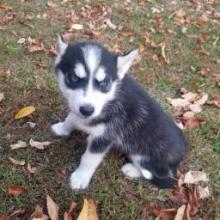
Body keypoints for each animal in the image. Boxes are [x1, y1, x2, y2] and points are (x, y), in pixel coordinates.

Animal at [51, 36, 187, 189]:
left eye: (104, 83)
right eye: (74, 78)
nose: (87, 110)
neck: (110, 98)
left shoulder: (105, 136)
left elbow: (89, 159)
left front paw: (81, 177)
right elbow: (71, 118)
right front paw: (62, 128)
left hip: (143, 155)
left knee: (157, 174)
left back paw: (131, 170)